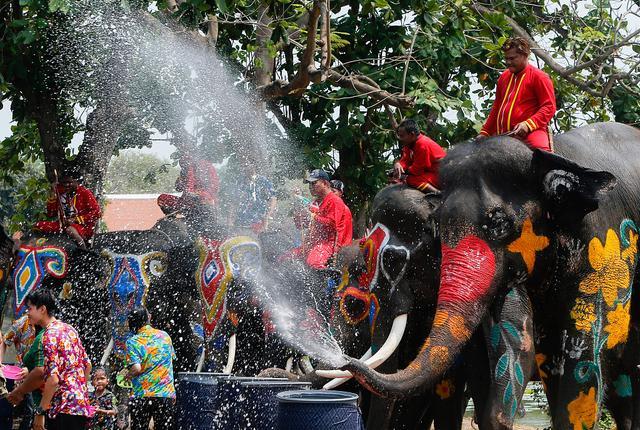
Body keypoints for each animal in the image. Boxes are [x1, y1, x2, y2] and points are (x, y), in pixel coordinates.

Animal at [348, 122, 640, 430]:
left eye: (499, 223)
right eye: (439, 225)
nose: (346, 361)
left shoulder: (605, 242)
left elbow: (578, 355)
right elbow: (524, 350)